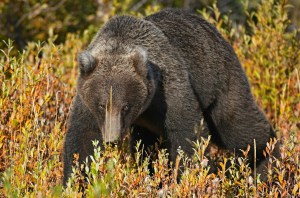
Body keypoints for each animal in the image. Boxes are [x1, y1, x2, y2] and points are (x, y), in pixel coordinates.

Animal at [62, 8, 278, 185]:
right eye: (101, 105)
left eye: (125, 106)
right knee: (145, 147)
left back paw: (268, 162)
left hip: (220, 82)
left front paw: (186, 178)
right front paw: (75, 182)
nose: (111, 138)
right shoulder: (86, 102)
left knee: (238, 127)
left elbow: (188, 134)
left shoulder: (169, 89)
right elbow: (82, 139)